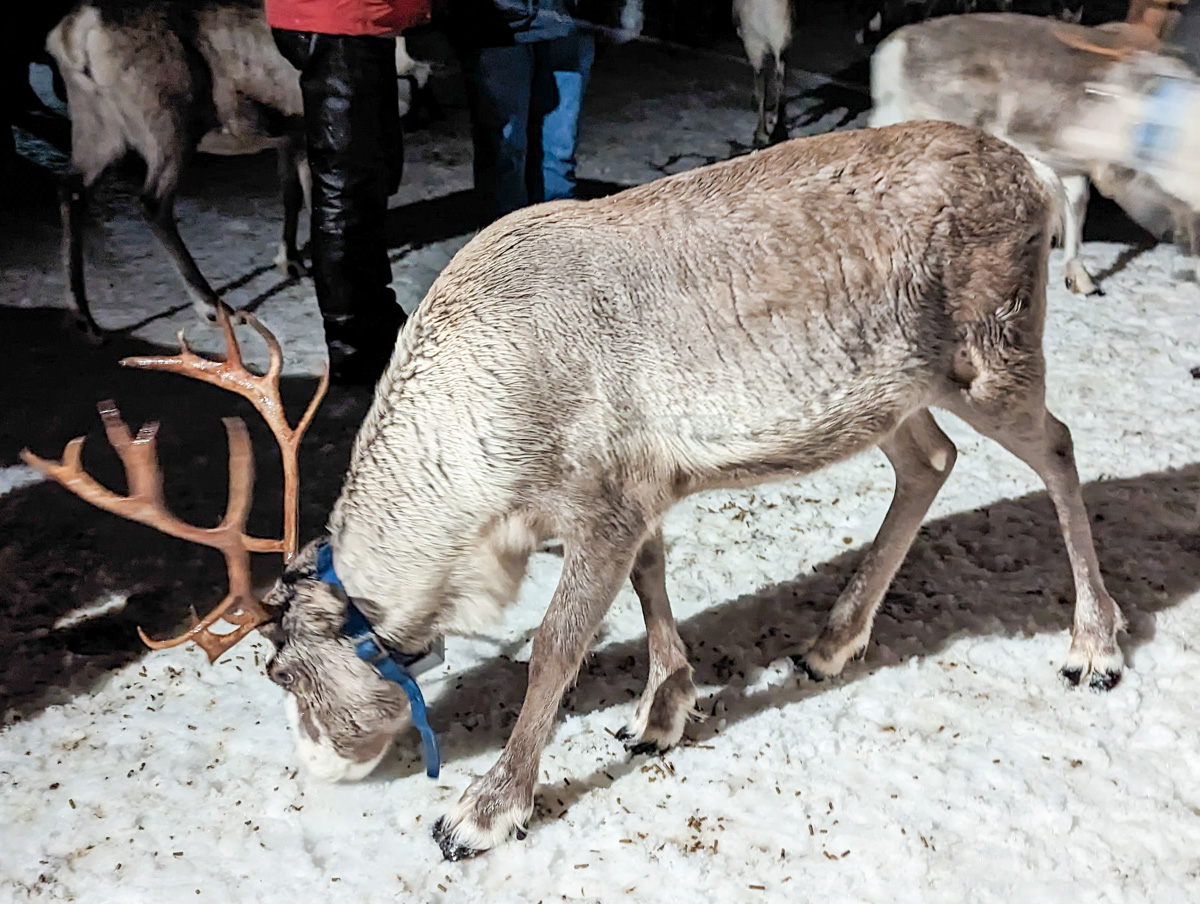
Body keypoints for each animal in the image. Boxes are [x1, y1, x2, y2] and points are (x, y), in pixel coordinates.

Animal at [24, 120, 1127, 862]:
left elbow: (557, 645)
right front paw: (661, 712)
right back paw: (829, 642)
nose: (317, 769)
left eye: (280, 670)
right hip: (892, 391)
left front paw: (479, 812)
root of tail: (1035, 171)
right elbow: (650, 586)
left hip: (989, 352)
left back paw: (1095, 646)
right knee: (929, 464)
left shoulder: (601, 502)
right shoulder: (631, 494)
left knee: (1059, 446)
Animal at [46, 0, 432, 338]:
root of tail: (75, 33)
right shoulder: (310, 127)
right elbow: (313, 196)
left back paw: (83, 317)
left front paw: (290, 261)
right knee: (152, 203)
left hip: (97, 127)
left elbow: (291, 194)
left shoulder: (291, 134)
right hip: (168, 125)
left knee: (70, 190)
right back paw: (212, 306)